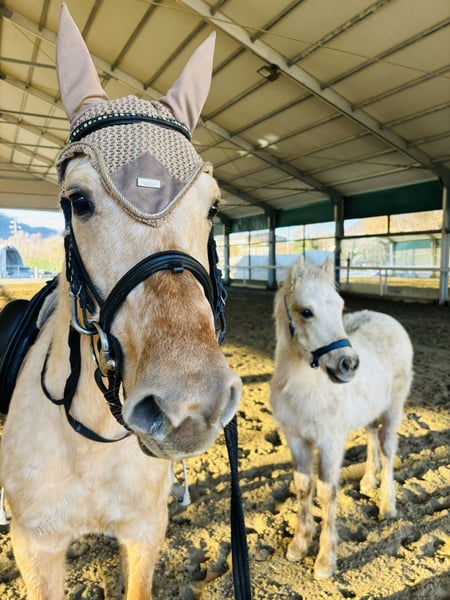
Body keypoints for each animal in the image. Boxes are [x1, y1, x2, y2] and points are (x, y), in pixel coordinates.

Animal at [0, 5, 242, 599]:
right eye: (78, 200)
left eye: (212, 207)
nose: (189, 406)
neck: (94, 439)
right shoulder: (35, 549)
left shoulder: (144, 531)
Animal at [270, 256, 413, 578]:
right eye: (306, 312)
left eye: (339, 305)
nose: (349, 364)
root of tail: (388, 320)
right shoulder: (295, 439)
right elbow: (303, 488)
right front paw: (298, 546)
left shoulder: (330, 443)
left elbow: (326, 493)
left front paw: (325, 561)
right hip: (370, 412)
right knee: (372, 438)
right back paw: (368, 481)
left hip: (393, 410)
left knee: (388, 452)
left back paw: (387, 506)